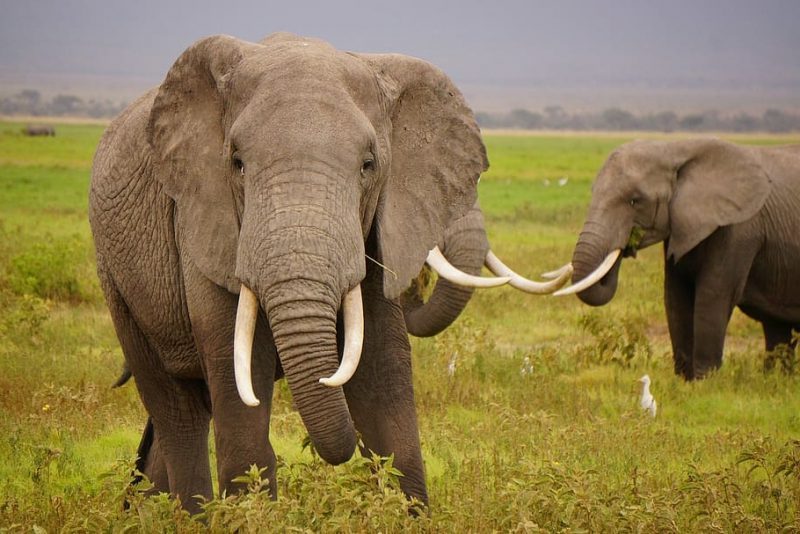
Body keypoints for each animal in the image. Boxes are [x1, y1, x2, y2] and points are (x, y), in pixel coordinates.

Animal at [89, 32, 533, 513]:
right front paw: (252, 513)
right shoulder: (204, 216)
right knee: (177, 411)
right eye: (237, 162)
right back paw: (186, 515)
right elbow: (239, 376)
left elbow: (382, 374)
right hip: (114, 276)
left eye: (368, 165)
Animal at [557, 138, 800, 380]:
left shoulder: (739, 230)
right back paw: (775, 379)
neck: (675, 148)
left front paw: (705, 382)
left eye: (635, 201)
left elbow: (712, 295)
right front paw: (684, 380)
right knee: (776, 328)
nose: (626, 246)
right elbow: (675, 296)